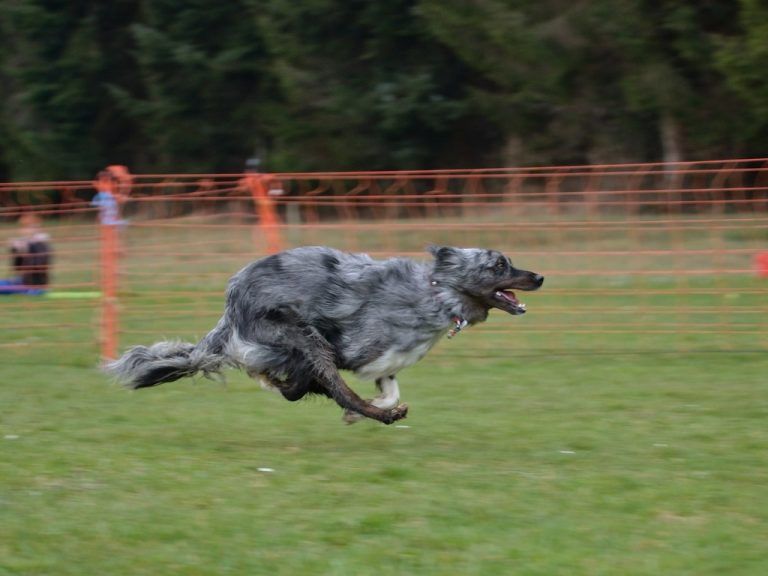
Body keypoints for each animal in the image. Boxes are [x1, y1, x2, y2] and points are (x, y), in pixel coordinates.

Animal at [105, 246, 543, 424]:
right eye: (500, 265)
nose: (540, 277)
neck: (437, 291)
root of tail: (231, 301)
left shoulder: (385, 364)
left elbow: (388, 388)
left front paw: (368, 407)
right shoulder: (356, 348)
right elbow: (347, 389)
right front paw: (367, 410)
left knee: (291, 387)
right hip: (303, 335)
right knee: (313, 384)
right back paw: (382, 417)